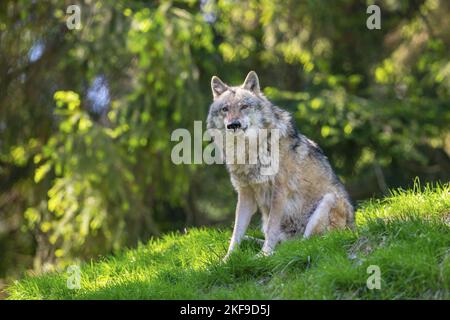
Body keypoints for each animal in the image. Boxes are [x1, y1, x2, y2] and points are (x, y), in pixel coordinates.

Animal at [207, 70, 356, 260]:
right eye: (225, 109)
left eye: (244, 106)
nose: (233, 125)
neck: (249, 151)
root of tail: (353, 228)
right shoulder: (245, 195)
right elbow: (236, 233)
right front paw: (227, 259)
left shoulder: (279, 191)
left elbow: (272, 228)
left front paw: (264, 255)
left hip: (329, 200)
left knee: (307, 244)